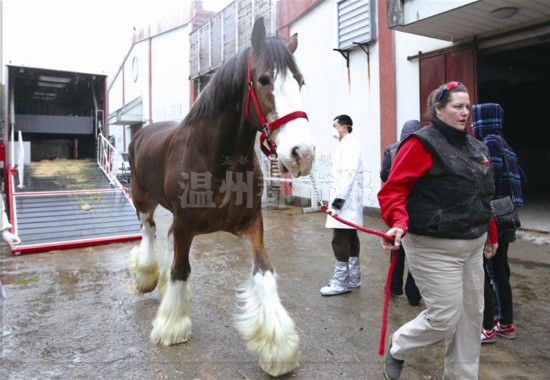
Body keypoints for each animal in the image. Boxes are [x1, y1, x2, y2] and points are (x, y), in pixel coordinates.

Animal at [128, 17, 314, 378]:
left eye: (300, 81)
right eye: (264, 79)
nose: (303, 154)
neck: (217, 160)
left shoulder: (251, 223)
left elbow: (265, 273)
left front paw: (278, 346)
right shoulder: (185, 224)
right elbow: (180, 269)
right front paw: (172, 326)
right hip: (141, 198)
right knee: (149, 231)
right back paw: (146, 276)